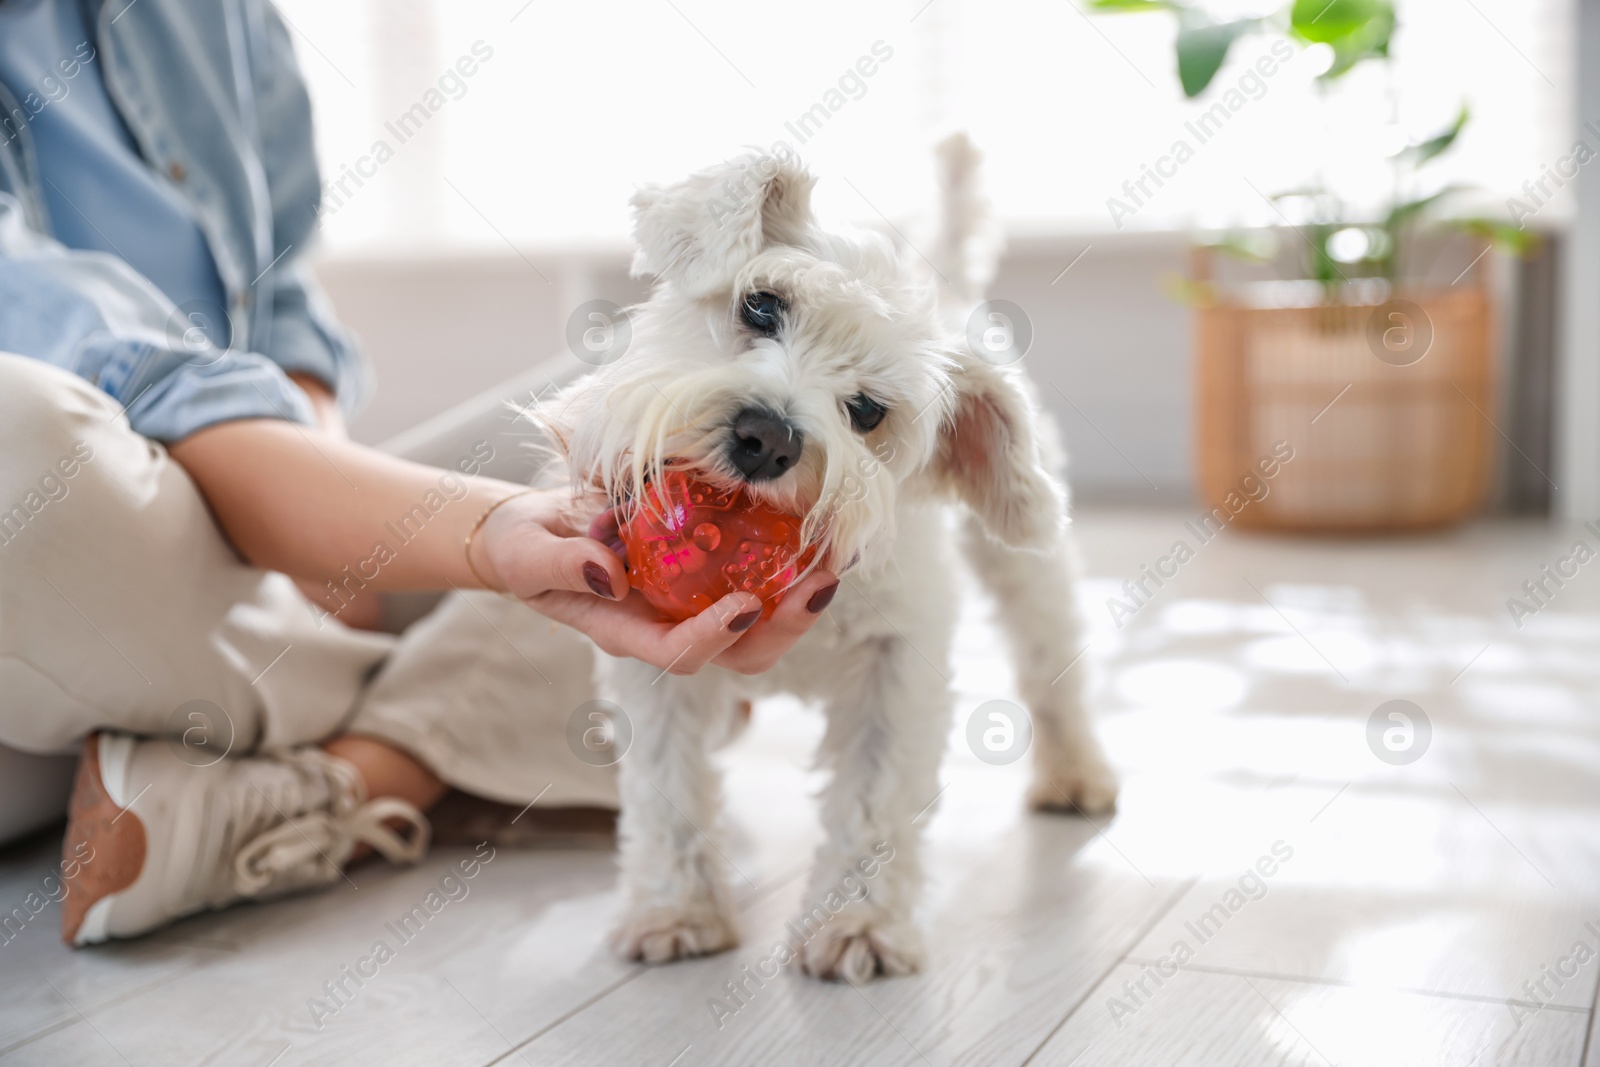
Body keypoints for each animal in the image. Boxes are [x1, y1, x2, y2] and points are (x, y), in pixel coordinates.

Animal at [544, 139, 1120, 985]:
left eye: (869, 410)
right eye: (761, 306)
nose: (766, 436)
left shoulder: (896, 662)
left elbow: (872, 796)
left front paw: (860, 925)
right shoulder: (657, 673)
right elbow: (667, 789)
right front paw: (677, 910)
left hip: (1029, 571)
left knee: (1053, 667)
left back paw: (1075, 772)